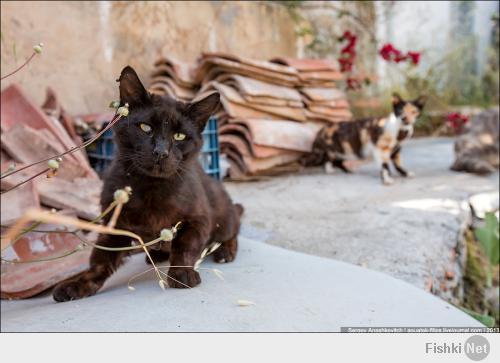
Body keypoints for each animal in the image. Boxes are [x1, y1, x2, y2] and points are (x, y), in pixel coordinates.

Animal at [52, 67, 244, 302]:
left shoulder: (199, 219)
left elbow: (185, 246)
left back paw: (226, 251)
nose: (161, 152)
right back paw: (157, 253)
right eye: (145, 127)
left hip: (223, 217)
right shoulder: (114, 227)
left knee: (234, 228)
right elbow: (99, 261)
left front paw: (182, 273)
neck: (151, 188)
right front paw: (77, 285)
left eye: (179, 136)